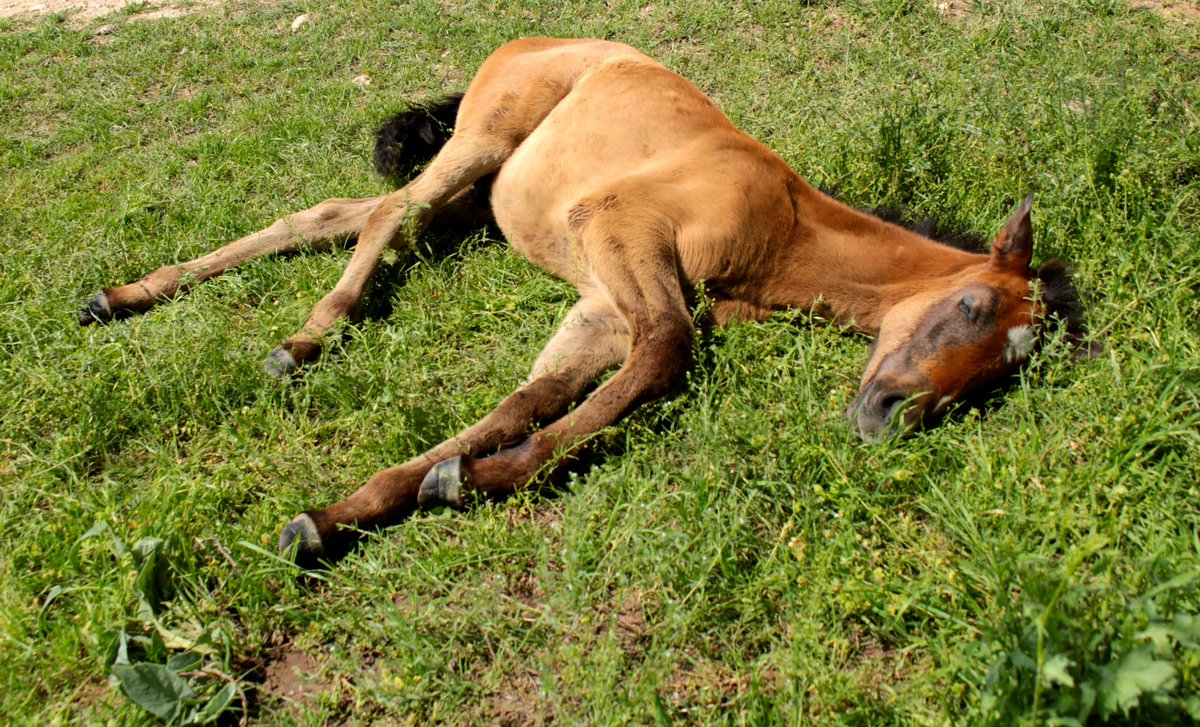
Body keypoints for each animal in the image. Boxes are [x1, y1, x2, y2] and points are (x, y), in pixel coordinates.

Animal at [78, 38, 1088, 563]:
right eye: (970, 310)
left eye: (1001, 377)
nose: (887, 416)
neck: (782, 225)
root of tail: (518, 43)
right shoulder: (619, 231)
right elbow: (666, 357)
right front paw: (463, 482)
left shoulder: (603, 305)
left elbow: (526, 402)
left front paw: (362, 508)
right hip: (485, 142)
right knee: (389, 218)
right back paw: (303, 341)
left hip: (477, 200)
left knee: (335, 214)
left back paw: (119, 296)